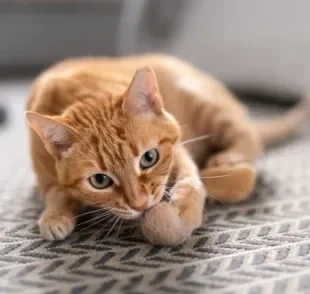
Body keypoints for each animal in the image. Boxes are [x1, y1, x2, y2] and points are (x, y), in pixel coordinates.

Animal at [26, 54, 310, 241]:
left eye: (149, 158)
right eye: (99, 180)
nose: (141, 205)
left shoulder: (179, 150)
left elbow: (190, 182)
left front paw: (181, 213)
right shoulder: (47, 178)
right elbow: (57, 193)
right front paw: (55, 216)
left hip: (206, 104)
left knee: (249, 138)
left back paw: (227, 160)